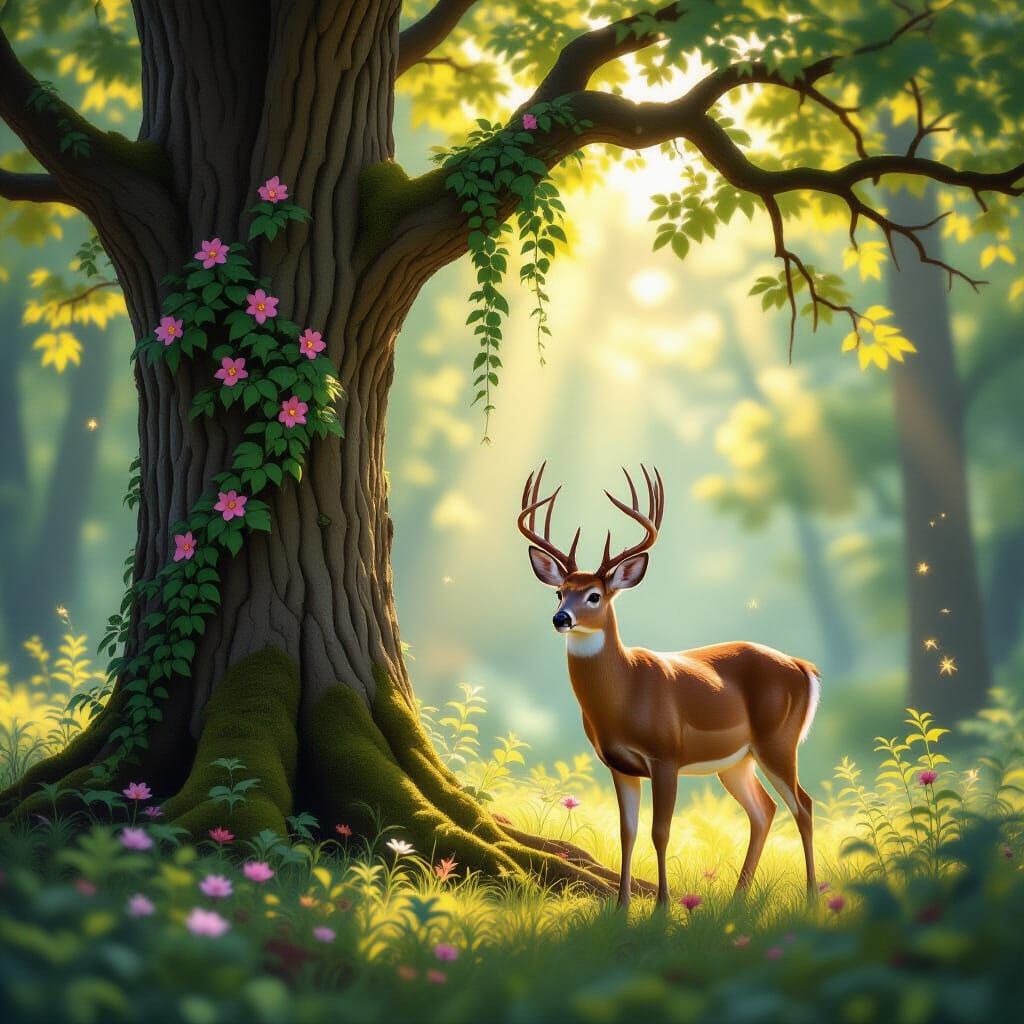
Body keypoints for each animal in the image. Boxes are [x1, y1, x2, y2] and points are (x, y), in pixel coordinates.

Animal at [517, 463, 820, 909]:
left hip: (777, 740)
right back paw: (737, 899)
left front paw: (661, 905)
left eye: (594, 595)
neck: (624, 694)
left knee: (803, 804)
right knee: (763, 809)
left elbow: (660, 832)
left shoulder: (666, 755)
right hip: (736, 760)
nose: (561, 619)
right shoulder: (619, 764)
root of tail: (805, 667)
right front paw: (622, 906)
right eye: (559, 592)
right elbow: (626, 832)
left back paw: (813, 898)